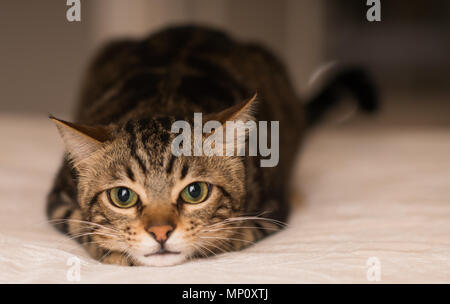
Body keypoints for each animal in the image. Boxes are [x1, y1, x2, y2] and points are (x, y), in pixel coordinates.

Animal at [47, 25, 376, 266]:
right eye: (123, 196)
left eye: (195, 192)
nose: (160, 232)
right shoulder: (58, 199)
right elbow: (81, 224)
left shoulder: (271, 209)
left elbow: (235, 235)